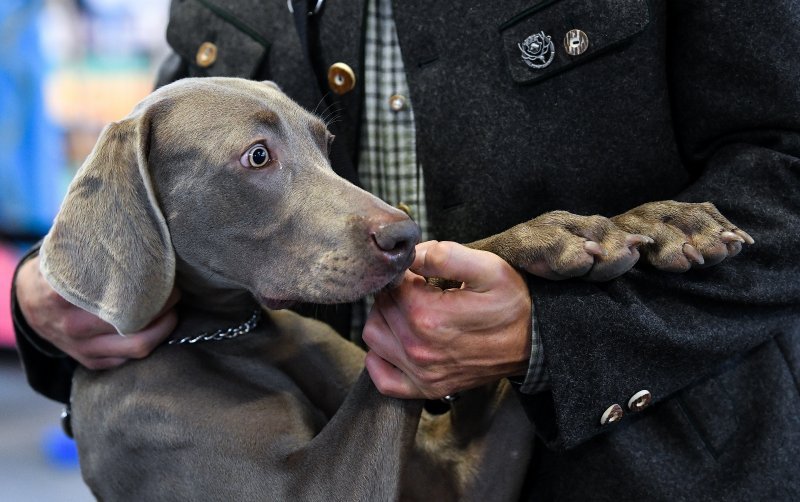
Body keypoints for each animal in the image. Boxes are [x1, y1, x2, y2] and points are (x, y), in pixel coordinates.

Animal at [36, 78, 752, 502]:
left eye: (325, 142)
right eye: (257, 156)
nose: (404, 232)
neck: (226, 333)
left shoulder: (459, 475)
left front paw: (660, 219)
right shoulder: (315, 491)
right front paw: (564, 232)